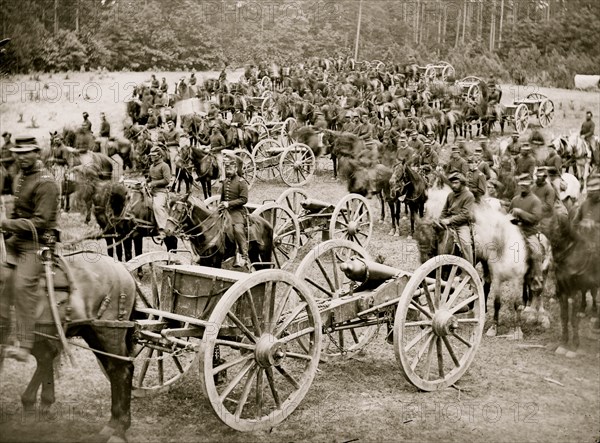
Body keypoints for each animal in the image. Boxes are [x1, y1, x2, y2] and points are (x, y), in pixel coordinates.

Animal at [0, 251, 137, 442]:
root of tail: (124, 270)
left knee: (122, 370)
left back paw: (119, 430)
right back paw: (112, 424)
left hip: (108, 331)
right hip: (91, 333)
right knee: (111, 369)